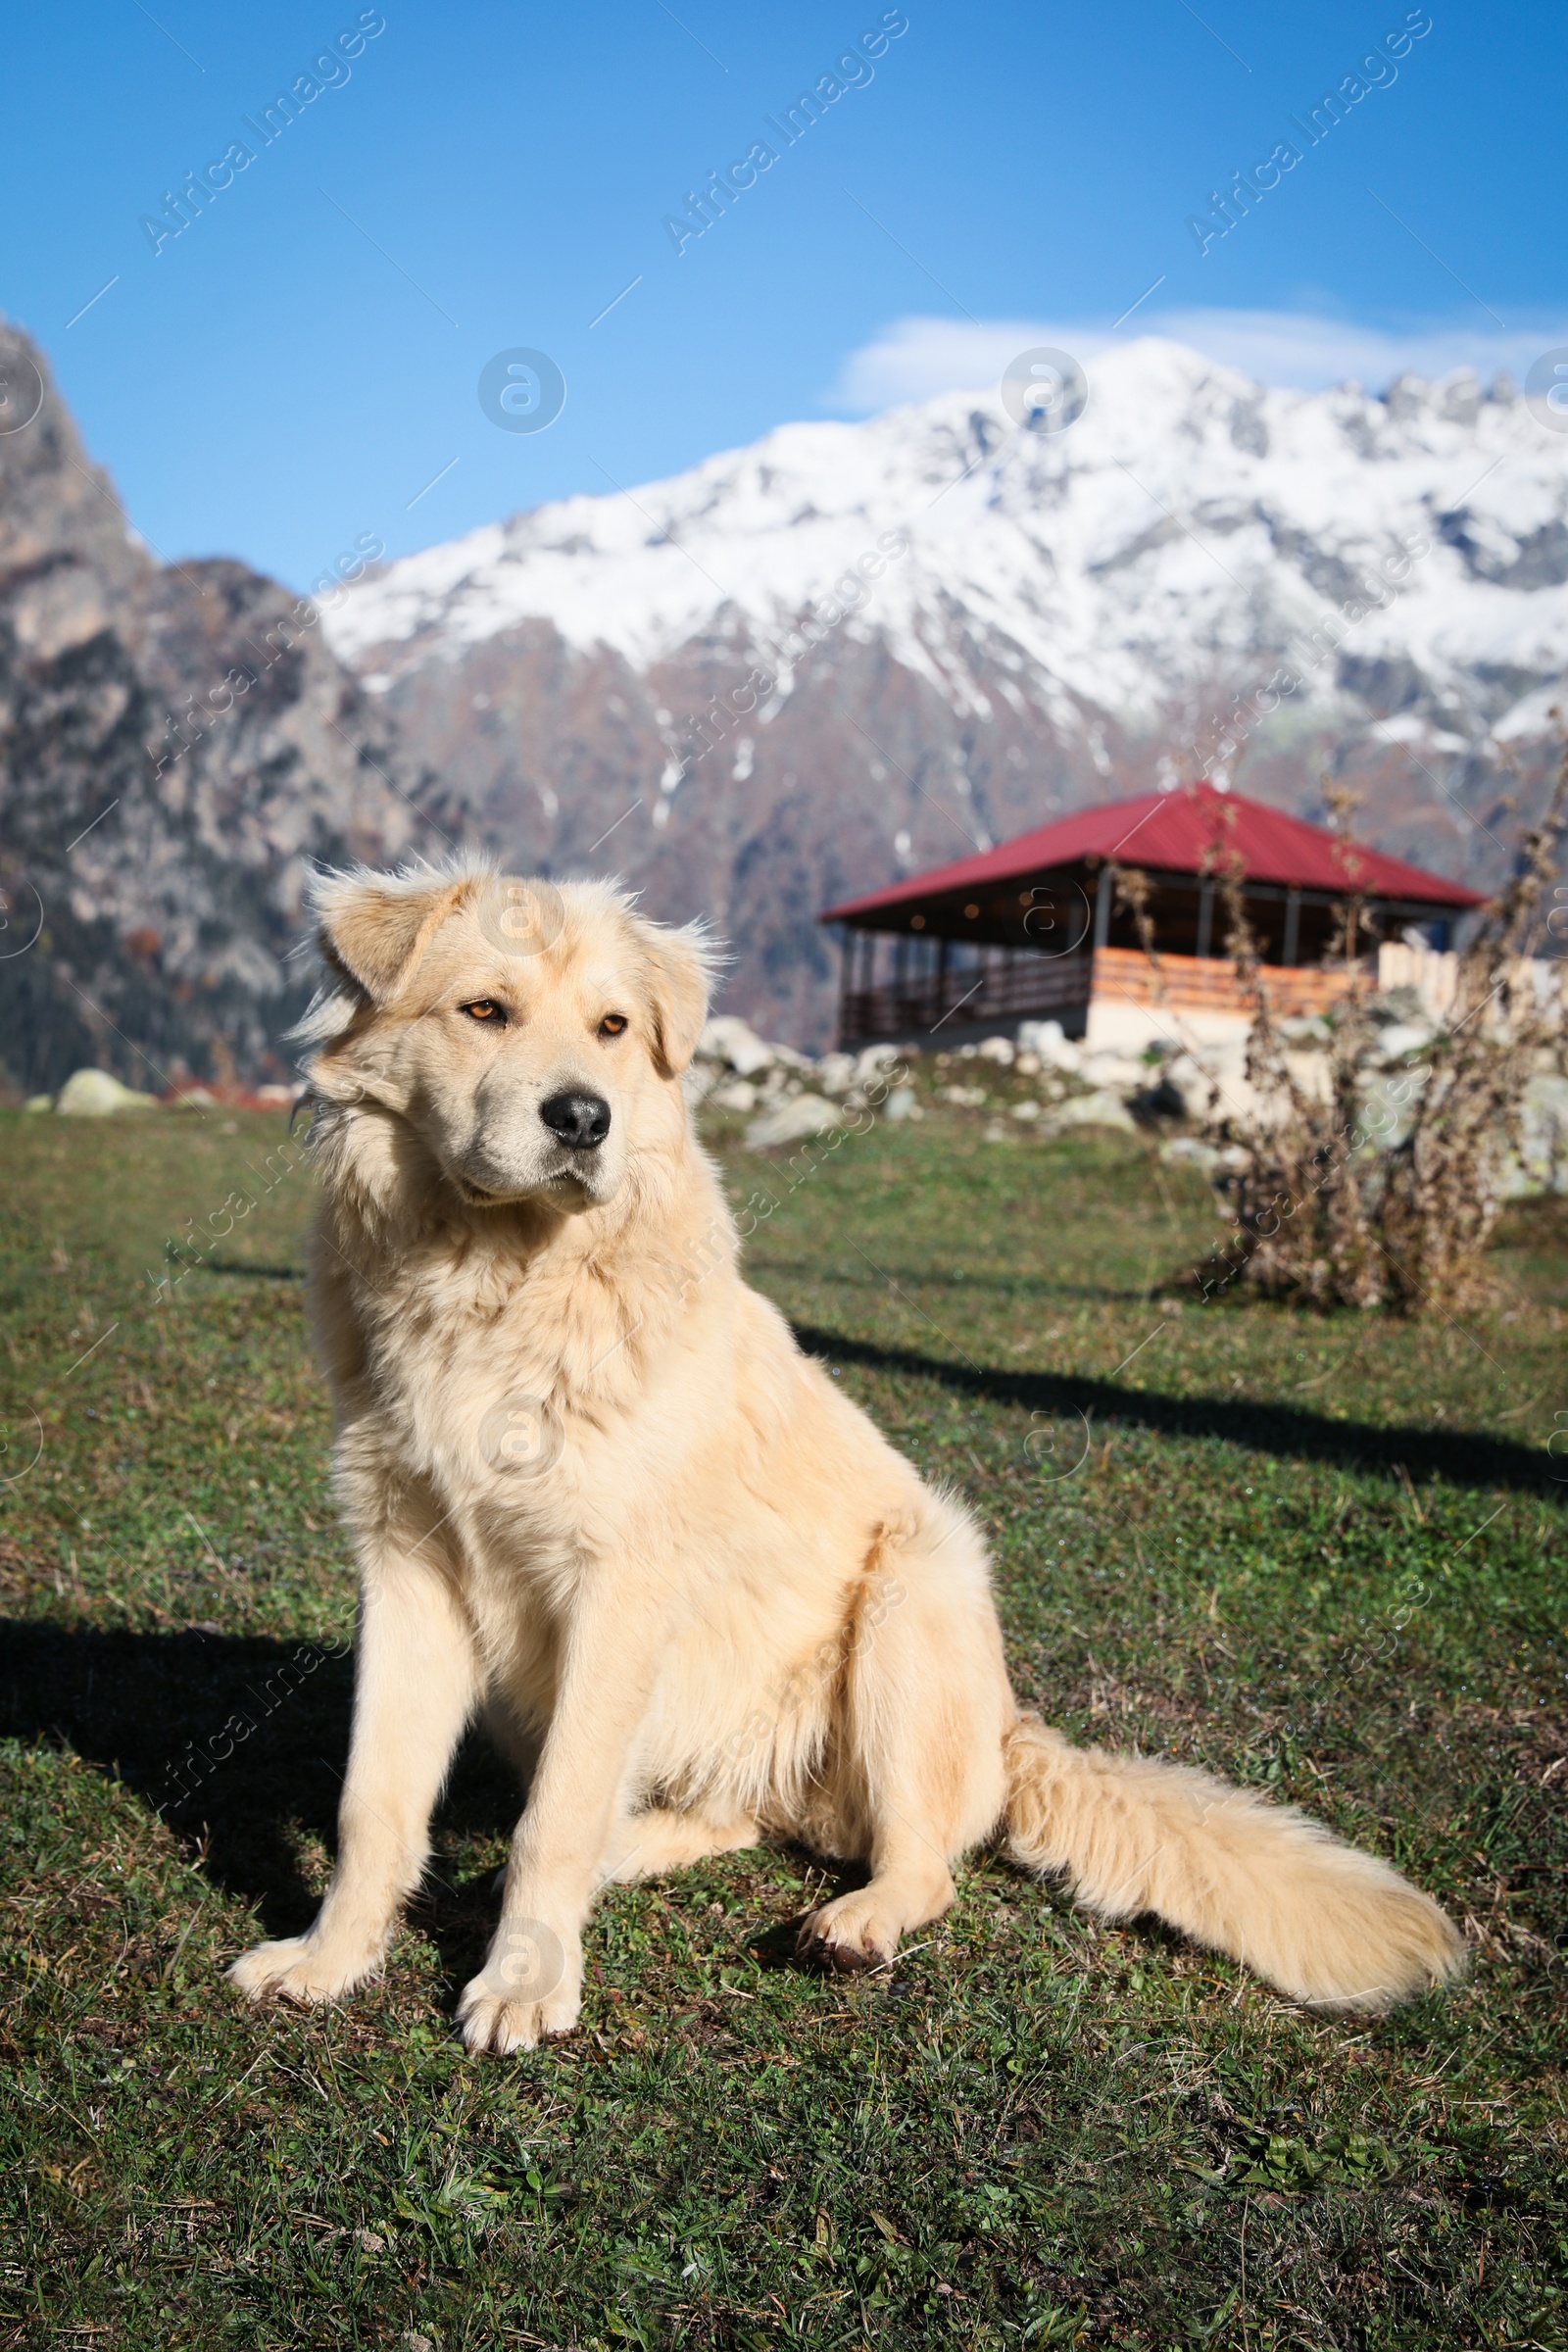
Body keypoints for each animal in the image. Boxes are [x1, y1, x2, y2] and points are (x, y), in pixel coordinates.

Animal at [226, 860, 1466, 2041]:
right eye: (484, 1009)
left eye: (614, 1027)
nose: (584, 1120)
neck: (495, 1280)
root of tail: (1014, 1733)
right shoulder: (406, 1569)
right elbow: (375, 1802)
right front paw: (331, 1960)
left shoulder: (616, 1587)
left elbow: (554, 1819)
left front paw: (526, 1982)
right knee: (736, 1814)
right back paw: (640, 1849)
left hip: (914, 1587)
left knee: (920, 1861)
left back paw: (856, 1922)